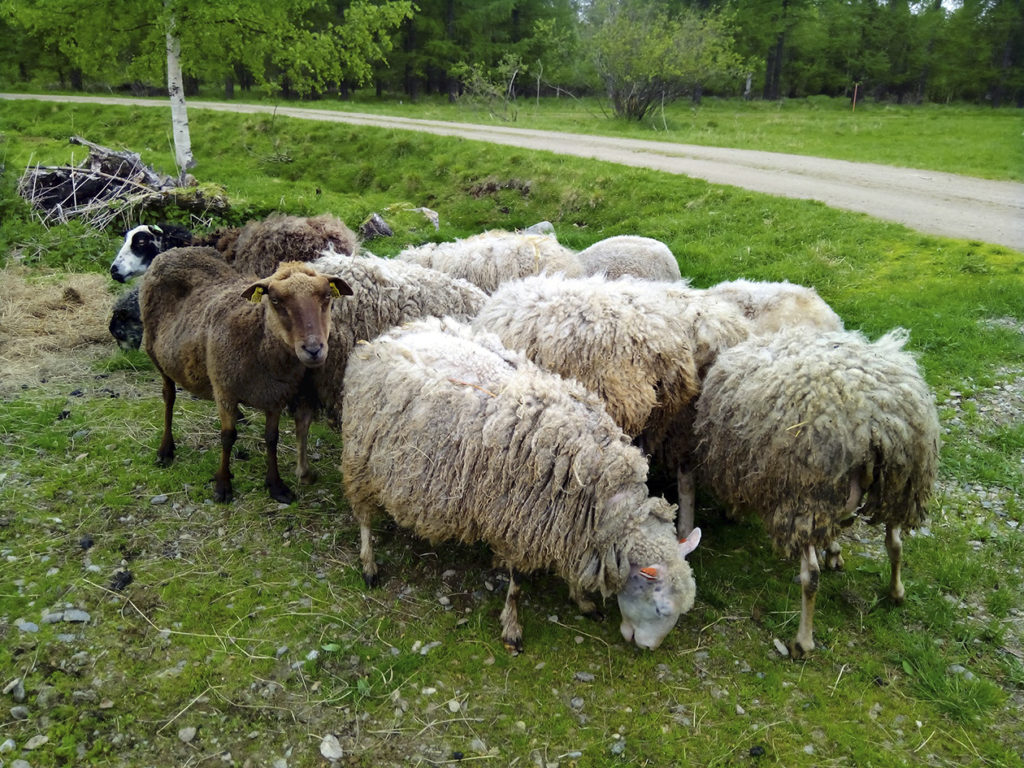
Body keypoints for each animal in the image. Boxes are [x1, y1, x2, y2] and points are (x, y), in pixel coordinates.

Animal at [139, 246, 352, 507]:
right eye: (275, 300)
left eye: (327, 297)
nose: (313, 349)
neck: (259, 340)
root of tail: (174, 250)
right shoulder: (225, 391)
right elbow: (227, 437)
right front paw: (222, 486)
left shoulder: (275, 396)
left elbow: (272, 438)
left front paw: (276, 486)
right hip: (157, 357)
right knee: (168, 397)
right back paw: (165, 450)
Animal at [339, 319, 700, 655]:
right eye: (660, 608)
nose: (648, 648)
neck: (603, 501)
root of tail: (386, 336)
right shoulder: (516, 524)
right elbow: (516, 586)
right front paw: (512, 629)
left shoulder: (568, 528)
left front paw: (581, 600)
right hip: (360, 457)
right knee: (363, 516)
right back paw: (369, 565)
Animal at [692, 327, 937, 659]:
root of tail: (872, 425)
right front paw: (835, 550)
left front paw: (733, 511)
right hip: (901, 486)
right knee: (895, 543)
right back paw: (896, 592)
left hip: (806, 495)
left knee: (812, 576)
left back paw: (802, 641)